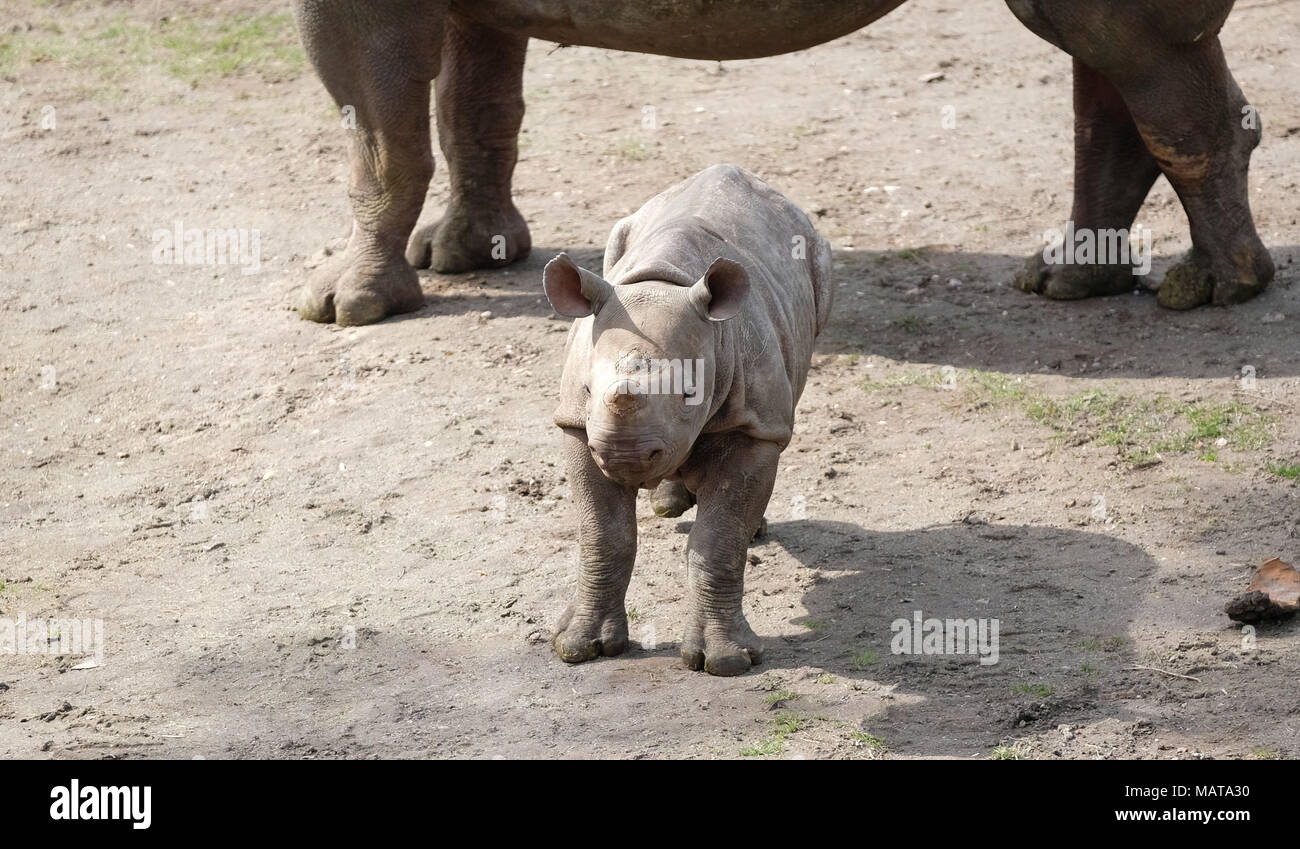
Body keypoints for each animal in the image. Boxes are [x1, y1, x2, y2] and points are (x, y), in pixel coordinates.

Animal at [293, 0, 1273, 325]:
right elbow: (471, 109)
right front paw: (467, 255)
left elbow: (379, 139)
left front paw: (345, 308)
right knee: (1104, 53)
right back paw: (1071, 282)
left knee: (1123, 48)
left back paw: (1214, 294)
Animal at [543, 164, 831, 676]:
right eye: (589, 391)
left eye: (689, 393)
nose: (625, 456)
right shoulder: (576, 425)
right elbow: (604, 534)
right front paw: (579, 645)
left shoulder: (754, 428)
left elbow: (719, 539)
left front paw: (727, 661)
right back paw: (669, 502)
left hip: (816, 258)